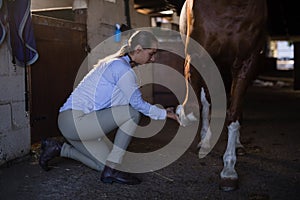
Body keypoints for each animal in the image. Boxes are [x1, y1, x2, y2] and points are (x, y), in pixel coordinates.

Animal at [179, 0, 268, 191]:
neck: (230, 6)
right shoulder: (197, 59)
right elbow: (197, 106)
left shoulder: (246, 63)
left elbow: (233, 113)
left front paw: (229, 170)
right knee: (206, 102)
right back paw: (204, 141)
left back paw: (237, 145)